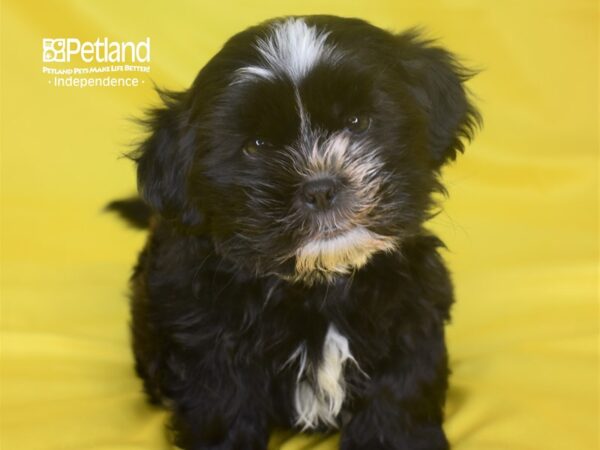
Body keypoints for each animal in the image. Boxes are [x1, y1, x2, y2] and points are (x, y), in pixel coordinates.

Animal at [111, 14, 478, 450]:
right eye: (256, 146)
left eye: (358, 123)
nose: (320, 187)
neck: (320, 283)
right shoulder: (209, 345)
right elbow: (222, 410)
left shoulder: (410, 316)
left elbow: (398, 398)